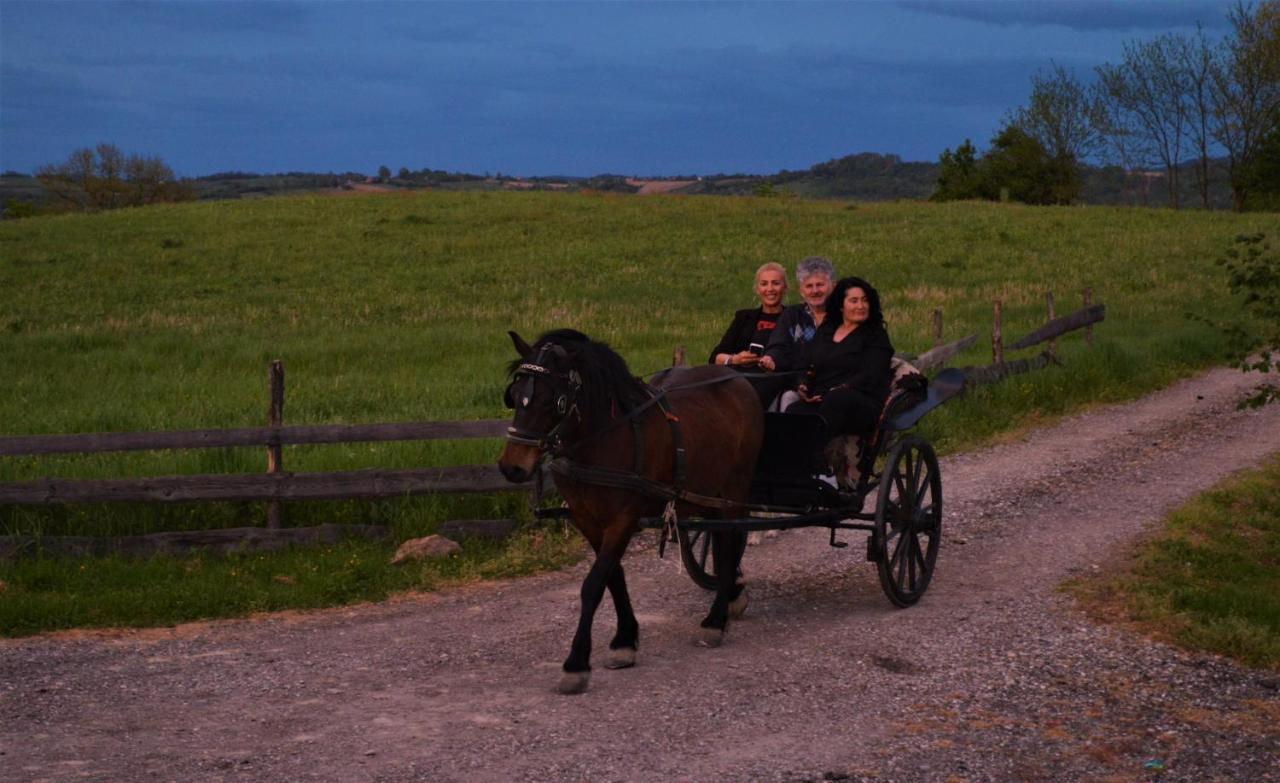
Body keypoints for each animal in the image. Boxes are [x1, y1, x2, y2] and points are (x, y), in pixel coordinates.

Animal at [496, 327, 757, 696]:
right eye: (514, 395)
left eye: (551, 401)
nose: (512, 467)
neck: (602, 438)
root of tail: (739, 379)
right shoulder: (587, 519)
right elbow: (613, 577)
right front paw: (625, 640)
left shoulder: (623, 519)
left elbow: (593, 585)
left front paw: (576, 663)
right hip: (710, 495)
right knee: (722, 544)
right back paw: (730, 594)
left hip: (735, 487)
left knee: (732, 540)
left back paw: (715, 620)